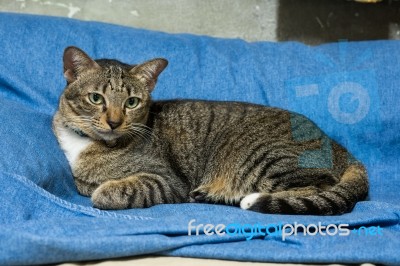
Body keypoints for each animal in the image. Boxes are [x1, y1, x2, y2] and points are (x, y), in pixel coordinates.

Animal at [53, 46, 368, 215]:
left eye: (132, 102)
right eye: (96, 98)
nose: (114, 122)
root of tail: (338, 146)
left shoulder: (169, 180)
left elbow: (122, 188)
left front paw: (104, 191)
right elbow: (84, 182)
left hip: (263, 156)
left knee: (318, 188)